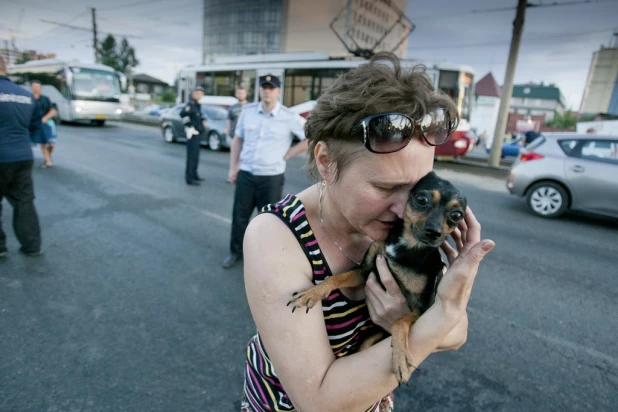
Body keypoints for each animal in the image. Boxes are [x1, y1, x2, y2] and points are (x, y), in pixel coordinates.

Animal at [286, 170, 464, 384]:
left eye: (457, 215)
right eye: (422, 199)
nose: (434, 233)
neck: (406, 248)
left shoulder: (422, 307)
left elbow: (399, 321)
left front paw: (401, 357)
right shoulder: (365, 271)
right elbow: (335, 278)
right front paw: (312, 293)